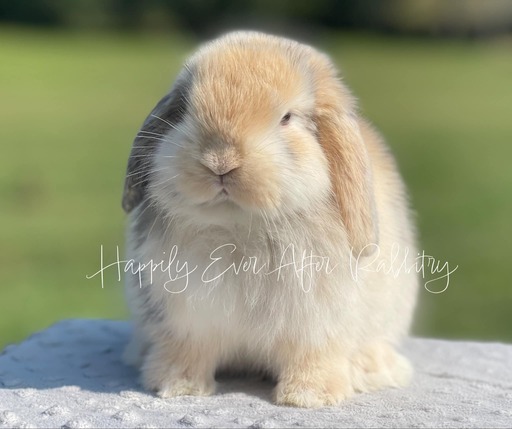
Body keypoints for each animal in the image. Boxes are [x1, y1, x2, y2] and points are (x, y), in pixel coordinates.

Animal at [122, 31, 418, 406]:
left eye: (287, 118)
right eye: (186, 109)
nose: (220, 161)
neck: (240, 227)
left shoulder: (316, 327)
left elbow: (313, 357)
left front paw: (309, 397)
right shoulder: (186, 322)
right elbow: (188, 353)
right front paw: (177, 387)